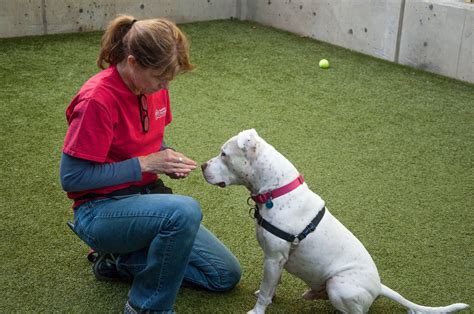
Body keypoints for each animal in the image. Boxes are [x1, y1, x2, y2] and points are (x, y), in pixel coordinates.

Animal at [201, 129, 470, 312]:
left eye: (224, 154)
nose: (202, 165)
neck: (276, 191)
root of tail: (378, 286)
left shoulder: (274, 257)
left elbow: (266, 292)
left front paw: (257, 310)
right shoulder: (276, 261)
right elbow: (271, 285)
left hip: (339, 285)